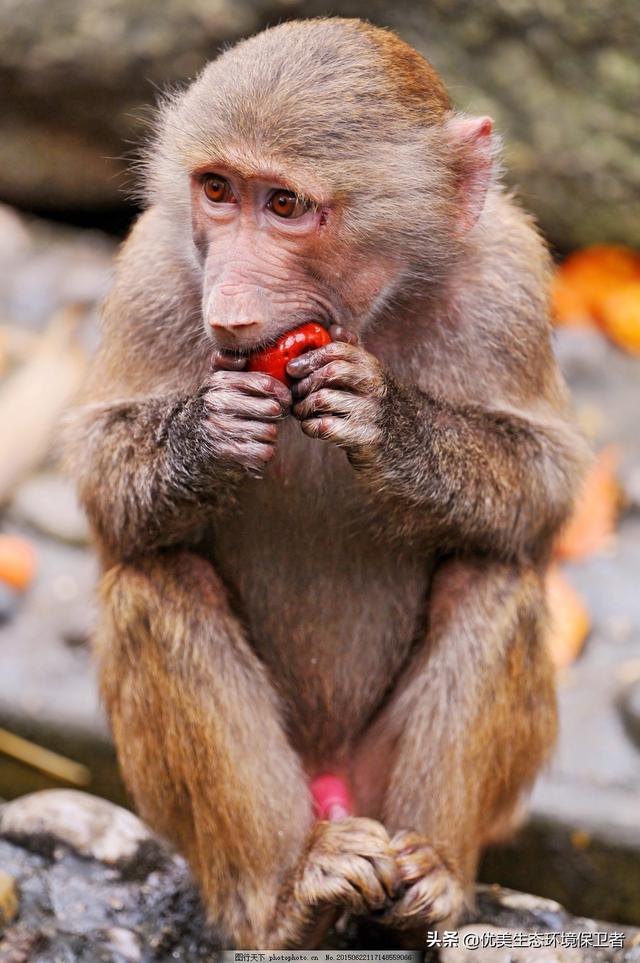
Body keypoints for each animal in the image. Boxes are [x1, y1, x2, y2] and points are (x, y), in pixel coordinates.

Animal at [63, 15, 584, 948]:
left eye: (286, 206)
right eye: (219, 190)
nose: (229, 305)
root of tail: (335, 785)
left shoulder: (509, 276)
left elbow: (545, 490)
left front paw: (387, 421)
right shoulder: (156, 268)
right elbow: (102, 492)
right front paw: (207, 433)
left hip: (378, 782)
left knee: (494, 579)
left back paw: (430, 880)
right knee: (158, 583)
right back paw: (287, 895)